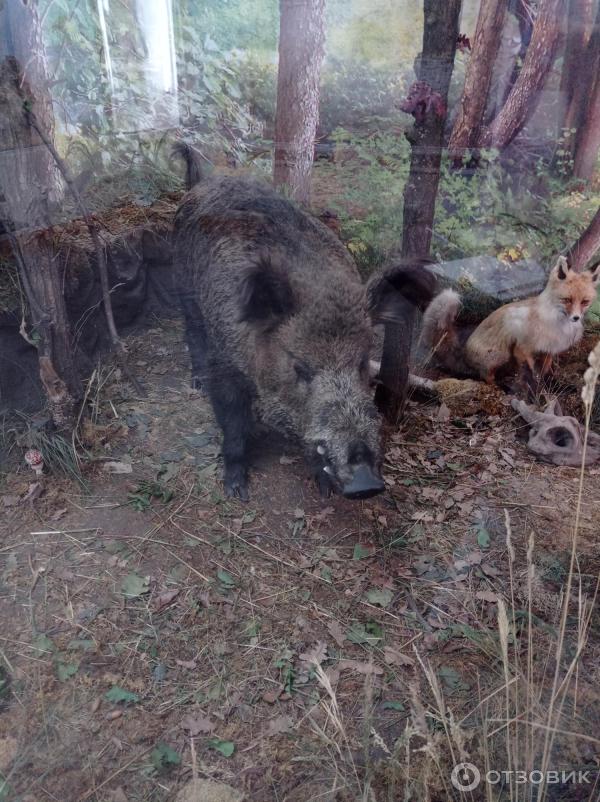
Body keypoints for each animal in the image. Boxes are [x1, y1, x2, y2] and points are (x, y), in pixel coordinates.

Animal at [422, 255, 600, 382]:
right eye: (567, 300)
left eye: (585, 302)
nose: (576, 318)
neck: (556, 324)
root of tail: (464, 353)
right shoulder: (522, 348)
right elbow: (530, 373)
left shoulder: (549, 349)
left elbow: (544, 370)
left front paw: (547, 382)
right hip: (501, 355)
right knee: (485, 376)